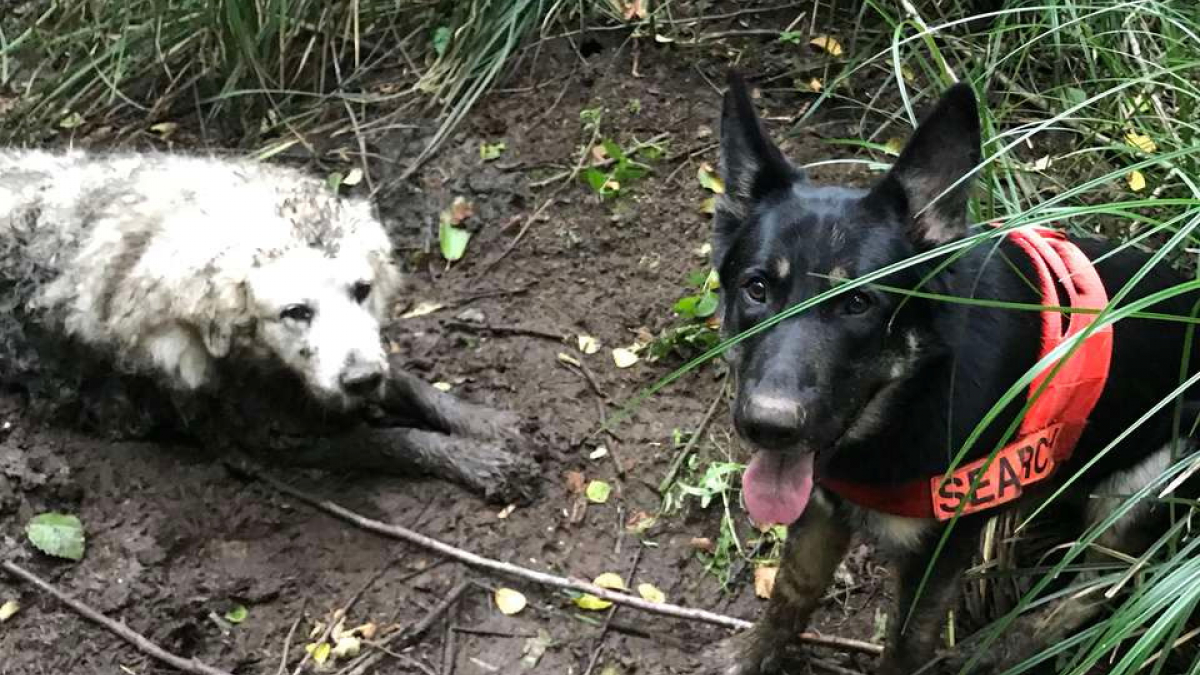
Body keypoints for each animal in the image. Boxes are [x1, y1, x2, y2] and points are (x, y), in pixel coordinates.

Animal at [0, 151, 535, 499]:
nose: (361, 380)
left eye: (362, 290)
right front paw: (478, 460)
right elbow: (388, 441)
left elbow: (407, 383)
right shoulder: (269, 436)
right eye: (295, 311)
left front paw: (486, 423)